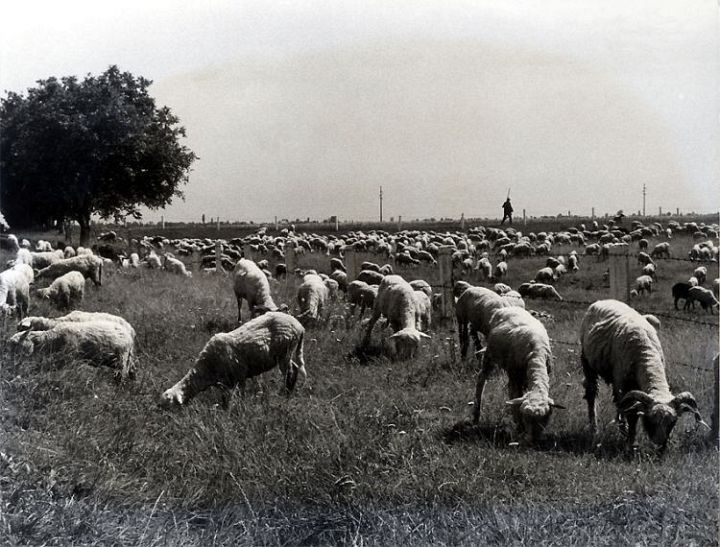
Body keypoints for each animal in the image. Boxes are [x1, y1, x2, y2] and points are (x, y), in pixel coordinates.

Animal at [159, 312, 306, 406]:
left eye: (169, 405)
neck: (206, 369)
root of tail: (299, 326)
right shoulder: (225, 383)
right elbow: (226, 398)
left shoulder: (239, 375)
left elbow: (239, 395)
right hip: (287, 353)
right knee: (295, 367)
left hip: (285, 351)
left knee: (290, 371)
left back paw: (286, 393)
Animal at [472, 308, 568, 446]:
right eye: (526, 418)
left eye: (545, 419)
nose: (532, 441)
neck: (536, 353)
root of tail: (506, 308)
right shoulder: (514, 379)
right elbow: (515, 401)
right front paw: (519, 429)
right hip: (490, 354)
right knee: (481, 379)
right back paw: (476, 416)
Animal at [576, 300, 704, 450]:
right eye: (649, 421)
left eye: (672, 423)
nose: (659, 447)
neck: (646, 353)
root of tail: (604, 301)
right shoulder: (623, 383)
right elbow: (631, 414)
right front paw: (631, 443)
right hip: (587, 361)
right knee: (592, 394)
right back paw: (595, 429)